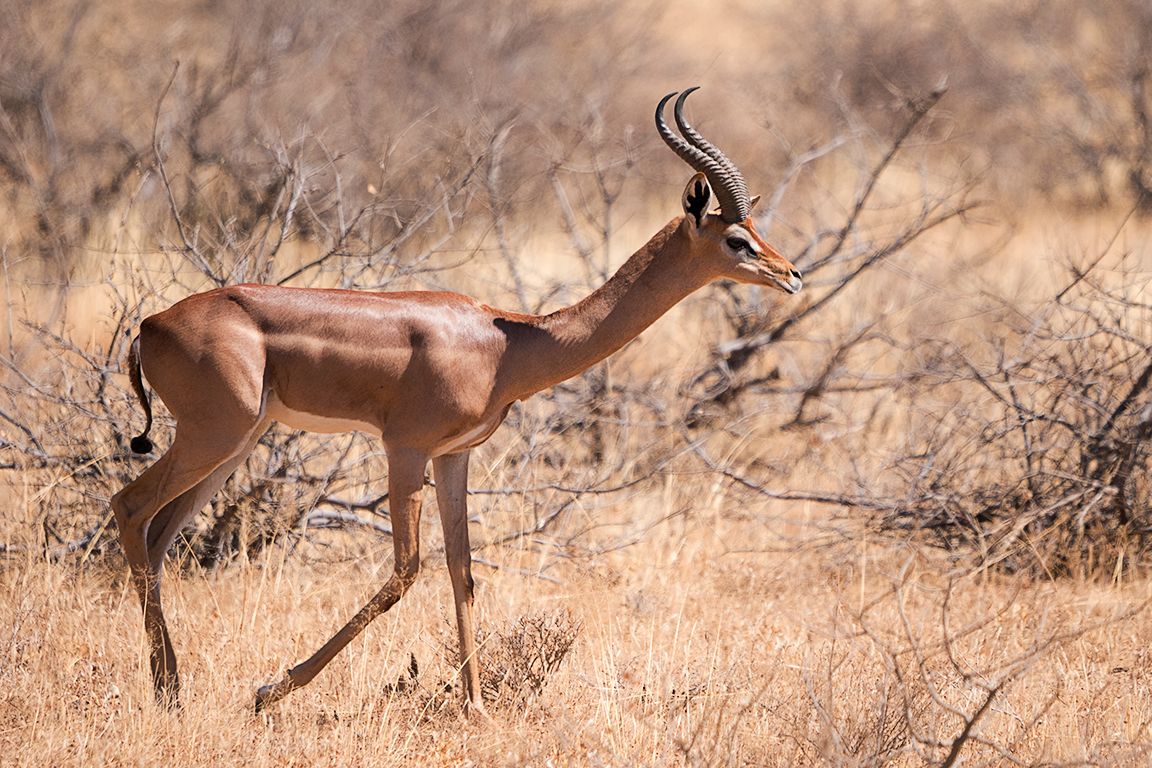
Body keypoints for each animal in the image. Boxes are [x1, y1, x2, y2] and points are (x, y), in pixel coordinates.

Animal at [111, 88, 803, 717]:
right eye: (737, 239)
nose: (792, 274)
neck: (506, 342)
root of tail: (151, 324)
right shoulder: (405, 448)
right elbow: (404, 572)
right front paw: (269, 689)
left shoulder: (453, 456)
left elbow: (461, 571)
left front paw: (474, 706)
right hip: (212, 437)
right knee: (130, 507)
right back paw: (171, 691)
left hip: (233, 445)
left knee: (159, 535)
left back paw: (171, 688)